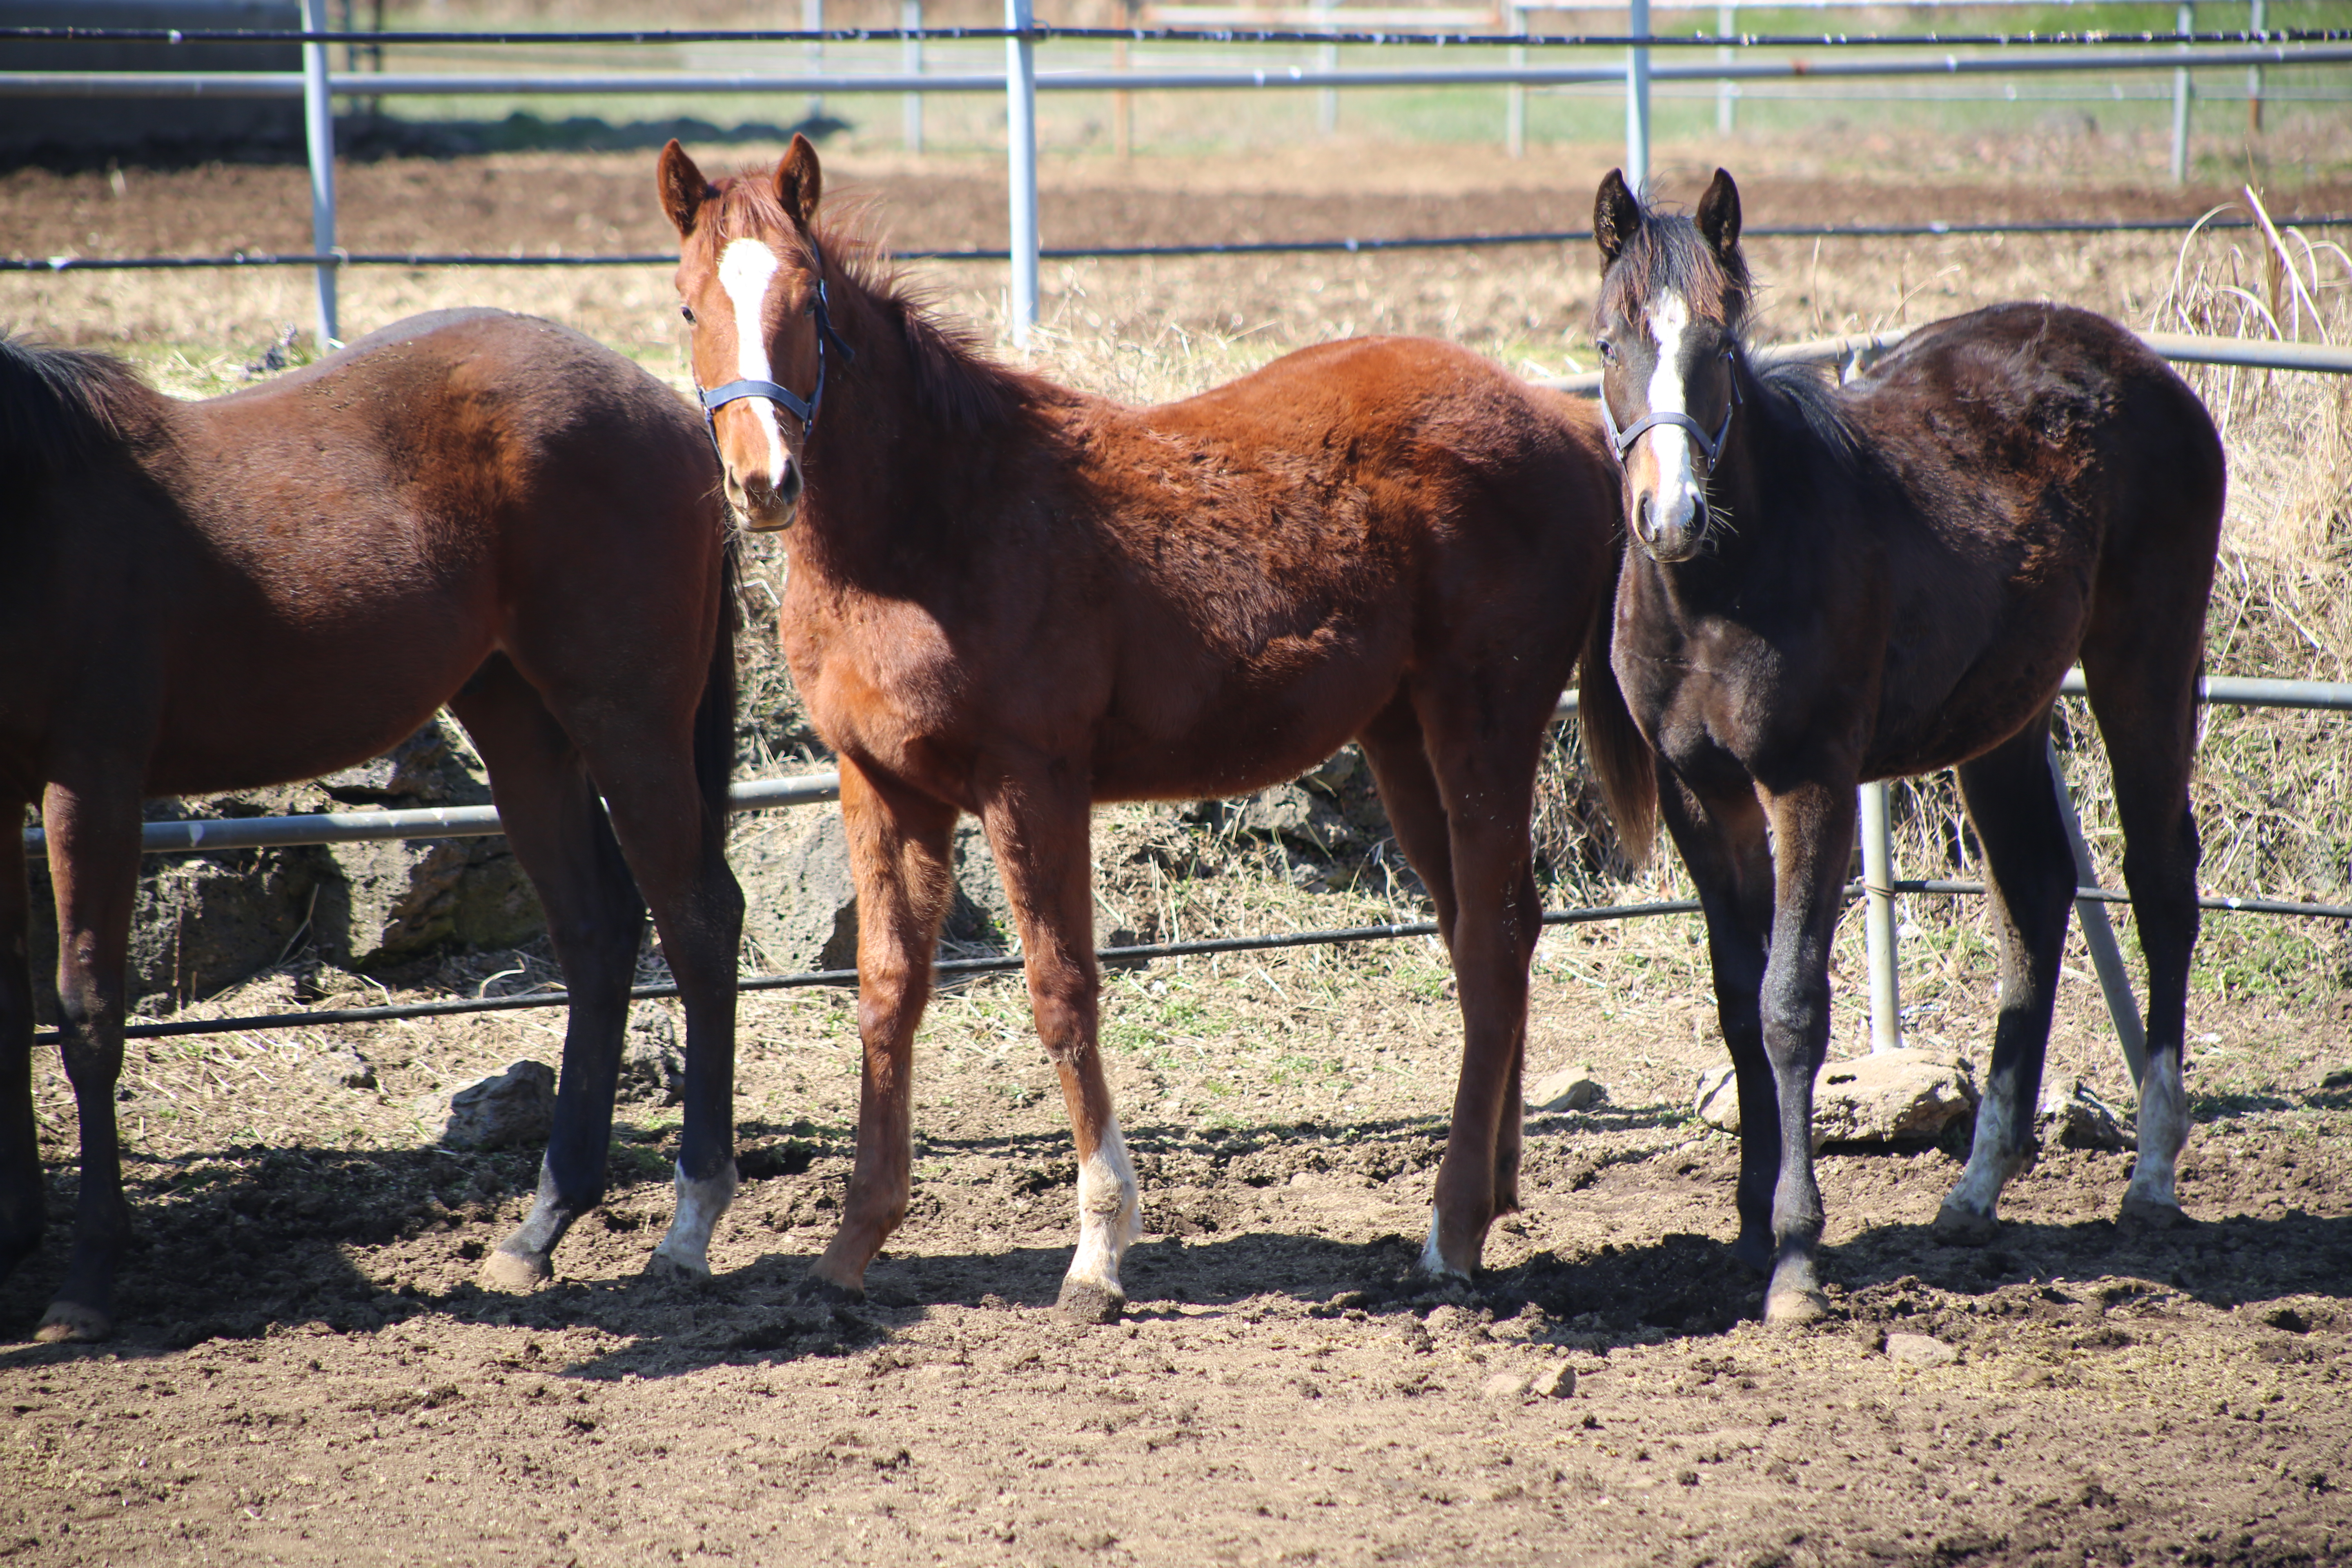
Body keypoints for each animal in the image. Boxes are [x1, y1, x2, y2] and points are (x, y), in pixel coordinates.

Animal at [0, 312, 743, 1345]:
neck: (37, 504)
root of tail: (669, 408)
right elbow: (8, 1006)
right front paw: (13, 1238)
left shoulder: (93, 780)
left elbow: (87, 1014)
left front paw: (85, 1281)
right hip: (518, 716)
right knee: (598, 931)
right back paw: (541, 1225)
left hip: (626, 716)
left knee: (699, 920)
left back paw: (688, 1223)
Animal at [654, 131, 1646, 1316]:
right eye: (687, 303)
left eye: (807, 299)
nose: (764, 482)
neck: (934, 519)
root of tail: (1566, 419)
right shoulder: (881, 784)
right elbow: (887, 994)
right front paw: (853, 1246)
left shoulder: (1031, 781)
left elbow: (1060, 991)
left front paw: (1099, 1249)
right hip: (1404, 738)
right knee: (1487, 932)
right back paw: (1491, 1192)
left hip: (1482, 719)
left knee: (1492, 943)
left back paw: (1449, 1231)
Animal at [1590, 172, 2230, 1326]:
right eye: (1611, 341)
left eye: (1719, 340)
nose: (1671, 515)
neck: (1725, 580)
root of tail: (2150, 370)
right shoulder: (1703, 797)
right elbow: (1736, 1005)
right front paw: (1749, 1225)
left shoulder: (1808, 785)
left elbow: (1791, 1007)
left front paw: (1795, 1255)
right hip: (2006, 718)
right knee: (2033, 893)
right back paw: (1976, 1187)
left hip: (2144, 663)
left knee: (2162, 882)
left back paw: (2152, 1171)